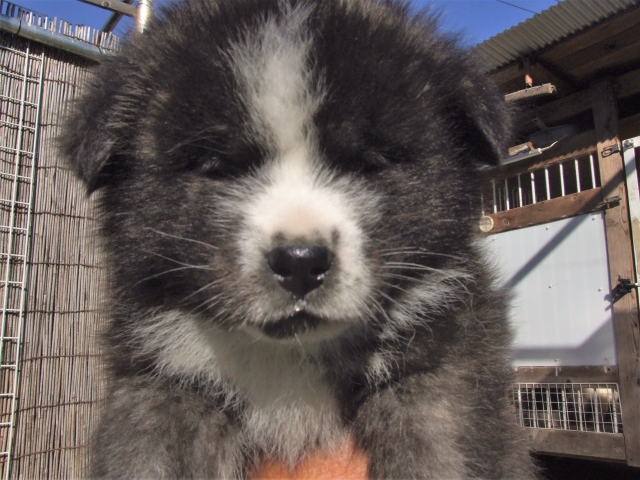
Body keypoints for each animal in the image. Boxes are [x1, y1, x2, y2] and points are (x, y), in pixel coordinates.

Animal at [63, 0, 536, 476]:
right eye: (217, 166)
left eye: (367, 163)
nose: (300, 262)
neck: (289, 358)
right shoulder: (162, 381)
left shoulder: (445, 375)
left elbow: (439, 455)